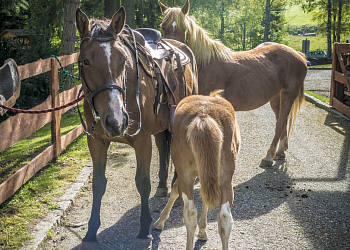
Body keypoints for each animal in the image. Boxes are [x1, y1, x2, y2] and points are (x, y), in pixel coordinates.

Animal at [75, 7, 198, 246]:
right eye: (85, 61)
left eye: (123, 60)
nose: (116, 120)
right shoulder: (96, 141)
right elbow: (98, 184)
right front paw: (91, 231)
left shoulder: (142, 141)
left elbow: (142, 182)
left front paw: (144, 229)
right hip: (162, 126)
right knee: (163, 147)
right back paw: (163, 186)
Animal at [153, 90, 241, 250]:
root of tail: (203, 117)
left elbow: (175, 189)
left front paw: (160, 221)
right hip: (225, 179)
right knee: (223, 216)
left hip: (188, 175)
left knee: (192, 213)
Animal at [159, 0, 306, 168]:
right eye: (163, 26)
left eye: (184, 28)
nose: (172, 52)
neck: (205, 64)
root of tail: (298, 55)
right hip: (276, 98)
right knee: (282, 121)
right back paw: (280, 152)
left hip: (288, 95)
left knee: (281, 123)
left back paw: (269, 156)